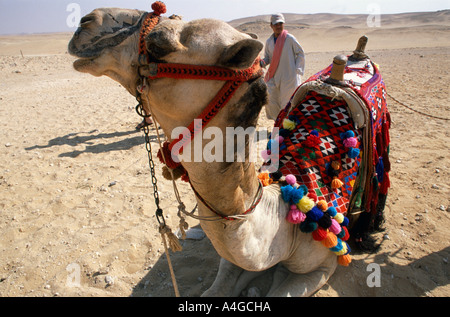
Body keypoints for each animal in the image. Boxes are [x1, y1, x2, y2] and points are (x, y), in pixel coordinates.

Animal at [68, 3, 388, 296]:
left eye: (159, 43)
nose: (86, 21)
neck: (287, 216)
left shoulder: (323, 266)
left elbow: (280, 289)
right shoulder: (236, 256)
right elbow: (218, 286)